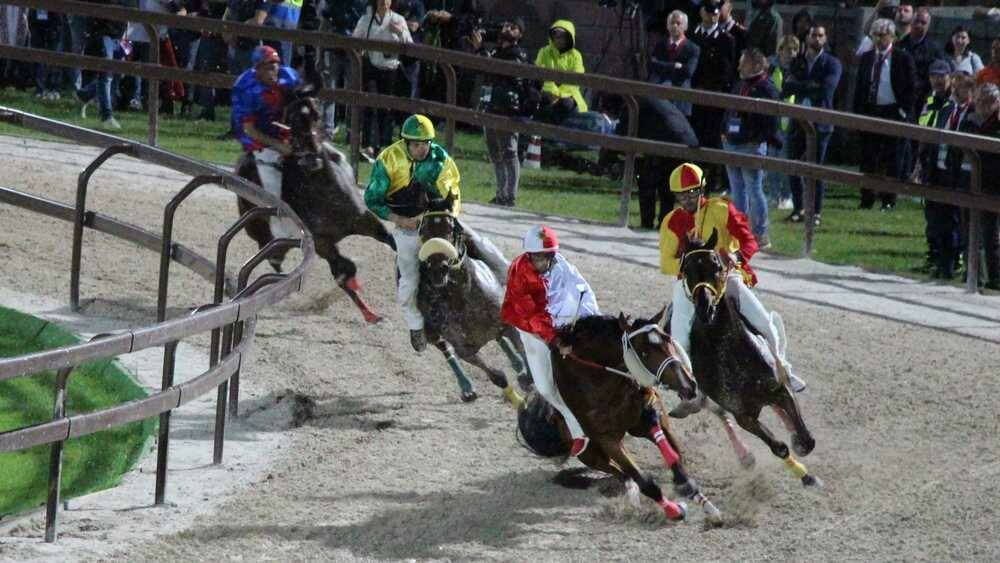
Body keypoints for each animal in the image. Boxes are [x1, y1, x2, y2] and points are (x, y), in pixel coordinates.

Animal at [234, 94, 394, 324]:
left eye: (316, 116)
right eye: (291, 119)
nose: (311, 159)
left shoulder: (365, 220)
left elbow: (390, 241)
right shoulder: (321, 242)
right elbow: (343, 271)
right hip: (259, 226)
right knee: (271, 249)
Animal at [416, 192, 532, 408]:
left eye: (451, 227)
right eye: (424, 228)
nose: (437, 268)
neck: (463, 297)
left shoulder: (506, 323)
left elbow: (521, 347)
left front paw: (527, 378)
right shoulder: (464, 349)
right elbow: (497, 376)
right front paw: (520, 400)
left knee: (500, 339)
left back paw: (518, 366)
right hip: (434, 333)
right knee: (445, 349)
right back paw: (467, 389)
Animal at [520, 312, 724, 524]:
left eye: (668, 340)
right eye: (644, 353)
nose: (688, 385)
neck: (600, 379)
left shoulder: (648, 418)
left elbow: (676, 461)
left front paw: (706, 505)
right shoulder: (608, 440)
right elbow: (645, 482)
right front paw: (674, 510)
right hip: (590, 454)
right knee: (622, 473)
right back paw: (633, 498)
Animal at [676, 231, 824, 486]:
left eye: (717, 265)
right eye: (687, 268)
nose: (706, 308)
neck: (732, 356)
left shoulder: (780, 389)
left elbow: (805, 438)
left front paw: (799, 443)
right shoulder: (743, 415)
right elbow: (779, 447)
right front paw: (804, 474)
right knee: (716, 411)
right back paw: (745, 456)